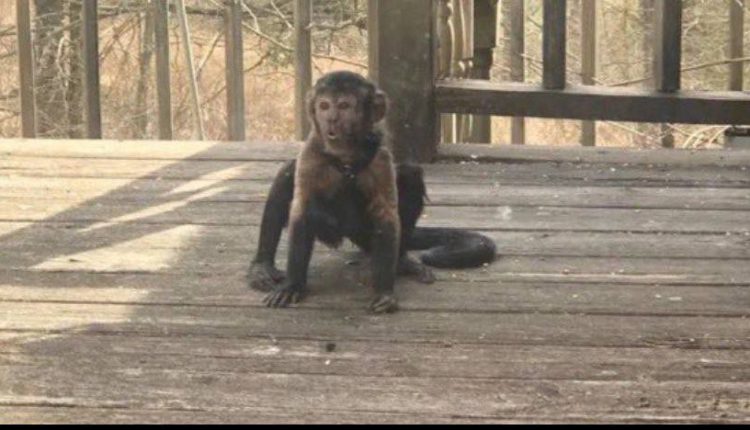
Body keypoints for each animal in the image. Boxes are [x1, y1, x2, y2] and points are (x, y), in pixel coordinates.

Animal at [248, 71, 496, 313]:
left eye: (344, 106)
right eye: (324, 106)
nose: (331, 119)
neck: (345, 158)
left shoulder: (379, 157)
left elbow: (386, 215)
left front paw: (384, 291)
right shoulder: (312, 152)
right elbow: (301, 211)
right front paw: (292, 285)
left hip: (364, 234)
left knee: (410, 175)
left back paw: (401, 262)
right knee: (288, 172)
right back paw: (262, 266)